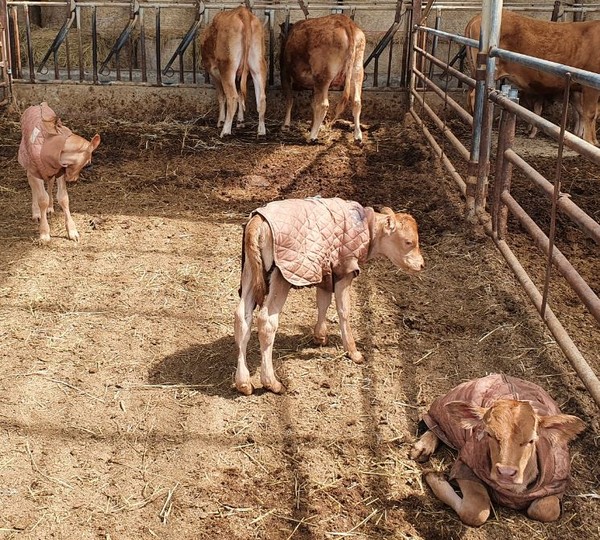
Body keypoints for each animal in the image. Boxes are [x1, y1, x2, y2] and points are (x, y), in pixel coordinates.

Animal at [200, 6, 266, 137]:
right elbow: (241, 95)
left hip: (227, 67)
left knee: (232, 97)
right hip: (257, 64)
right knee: (261, 97)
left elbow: (222, 96)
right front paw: (240, 122)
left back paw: (225, 131)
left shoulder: (215, 74)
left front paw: (221, 121)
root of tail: (243, 12)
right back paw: (261, 131)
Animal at [232, 196, 424, 394]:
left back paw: (243, 383)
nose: (422, 264)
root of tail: (259, 219)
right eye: (408, 242)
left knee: (242, 317)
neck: (366, 226)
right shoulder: (345, 270)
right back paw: (272, 383)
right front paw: (353, 352)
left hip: (250, 272)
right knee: (266, 321)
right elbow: (344, 310)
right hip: (280, 277)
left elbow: (323, 302)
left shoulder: (325, 272)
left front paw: (320, 336)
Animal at [278, 15, 366, 143]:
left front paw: (285, 125)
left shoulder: (284, 72)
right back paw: (358, 136)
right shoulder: (313, 85)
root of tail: (346, 22)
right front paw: (311, 125)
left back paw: (312, 137)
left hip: (323, 75)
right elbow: (312, 103)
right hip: (357, 70)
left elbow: (290, 99)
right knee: (356, 102)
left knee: (323, 105)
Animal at [410, 374, 584, 524]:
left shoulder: (556, 484)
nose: (506, 473)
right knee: (436, 424)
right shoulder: (465, 467)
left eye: (532, 439)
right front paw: (434, 476)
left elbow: (546, 510)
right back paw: (423, 447)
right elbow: (476, 511)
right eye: (489, 434)